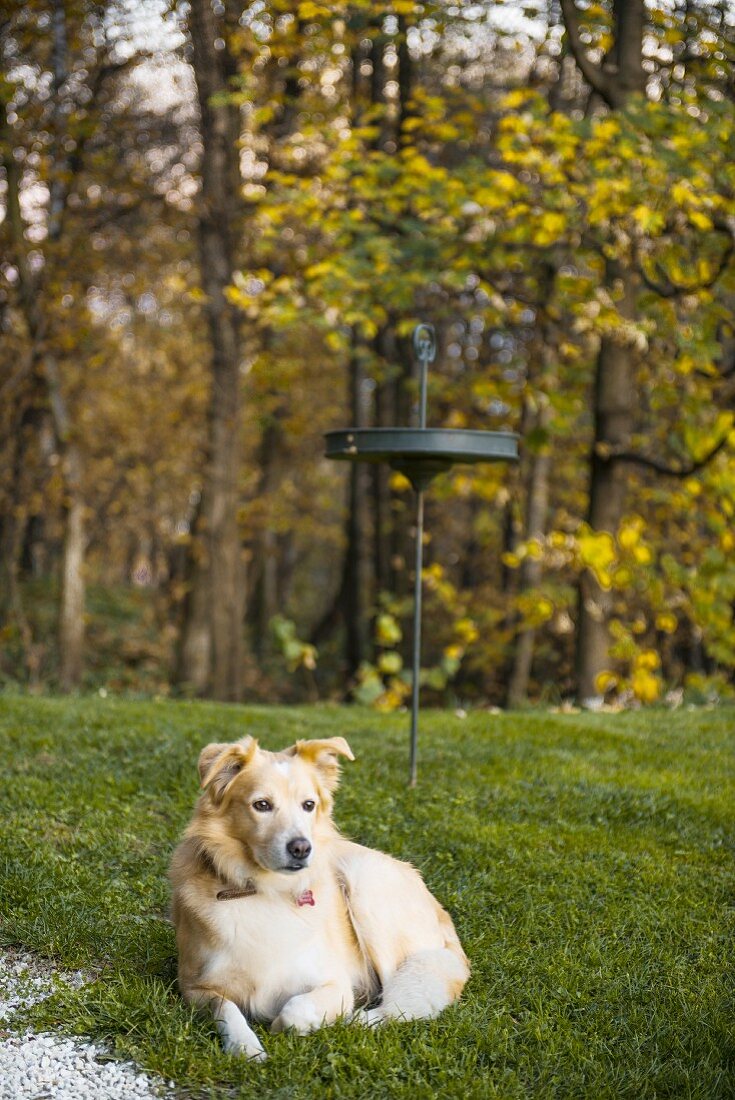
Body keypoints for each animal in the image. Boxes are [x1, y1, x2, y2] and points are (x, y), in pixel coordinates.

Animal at [168, 734, 468, 1060]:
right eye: (262, 805)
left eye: (308, 805)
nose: (301, 848)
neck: (264, 890)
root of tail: (439, 909)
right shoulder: (194, 987)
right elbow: (228, 1009)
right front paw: (244, 1045)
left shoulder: (336, 984)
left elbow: (294, 1009)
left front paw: (285, 1026)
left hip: (366, 883)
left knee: (399, 1005)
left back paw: (358, 1021)